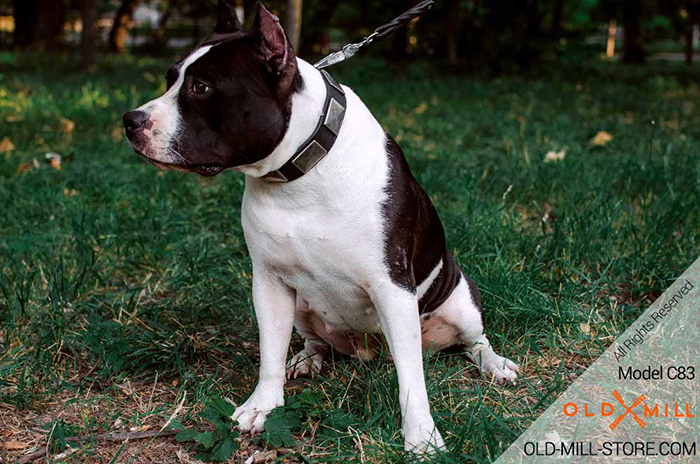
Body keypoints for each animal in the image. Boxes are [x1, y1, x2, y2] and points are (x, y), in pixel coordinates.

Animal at [123, 1, 516, 454]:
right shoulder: (269, 282)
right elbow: (269, 352)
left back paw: (495, 364)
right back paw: (305, 359)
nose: (130, 120)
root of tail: (369, 352)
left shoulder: (392, 288)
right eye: (170, 79)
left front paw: (421, 436)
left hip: (461, 300)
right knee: (316, 341)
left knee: (473, 340)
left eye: (201, 87)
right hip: (304, 309)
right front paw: (262, 404)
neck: (297, 175)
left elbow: (411, 379)